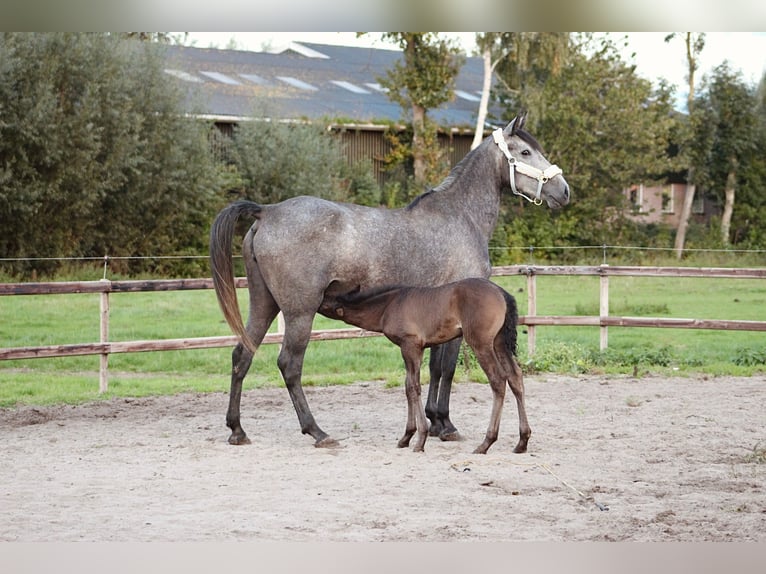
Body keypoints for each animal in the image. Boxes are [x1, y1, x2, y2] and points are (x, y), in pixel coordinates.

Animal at [319, 278, 530, 454]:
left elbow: (414, 387)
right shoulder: (411, 349)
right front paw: (406, 437)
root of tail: (502, 293)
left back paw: (486, 443)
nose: (314, 303)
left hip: (481, 343)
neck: (389, 305)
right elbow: (408, 387)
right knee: (515, 377)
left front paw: (419, 440)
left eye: (326, 298)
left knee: (498, 380)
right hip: (499, 343)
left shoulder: (411, 346)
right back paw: (522, 441)